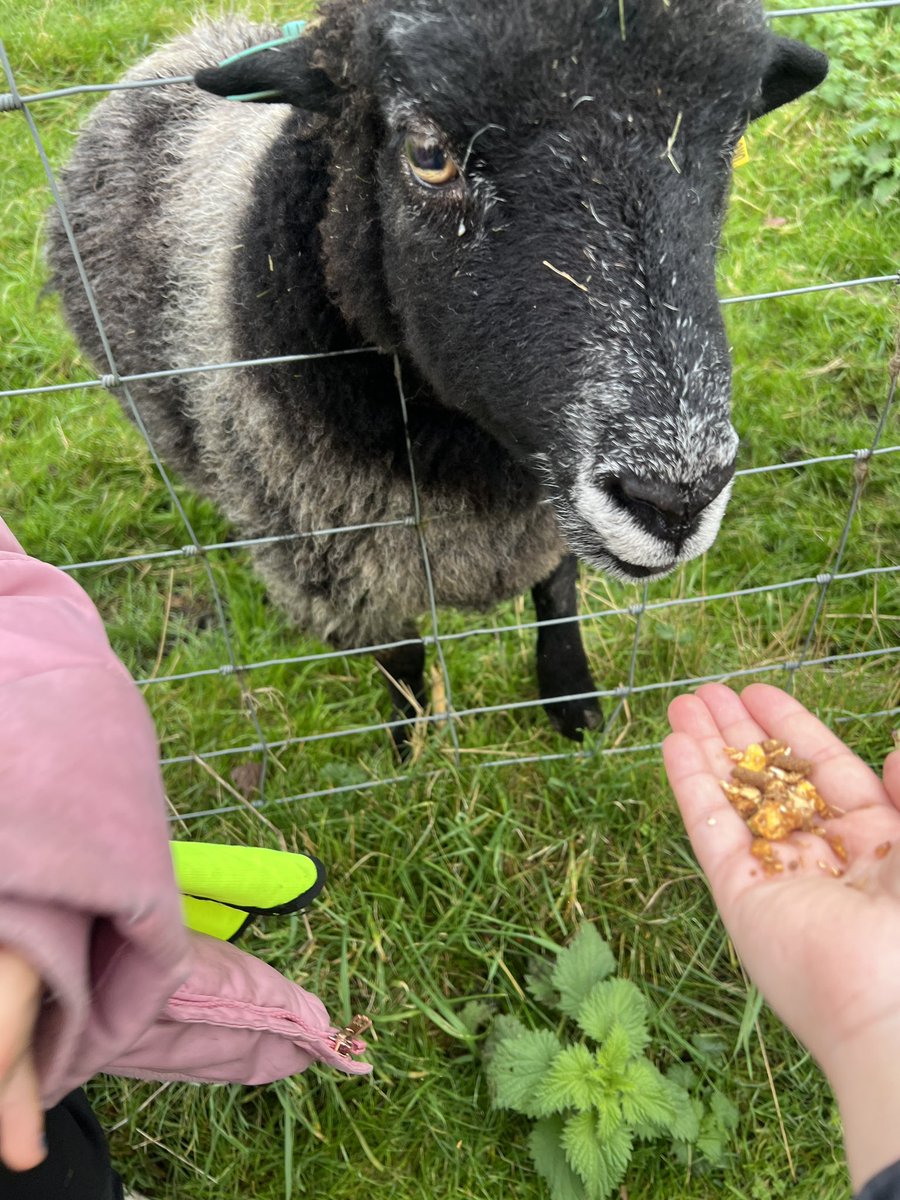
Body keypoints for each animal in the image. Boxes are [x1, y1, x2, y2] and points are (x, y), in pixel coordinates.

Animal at [46, 0, 827, 746]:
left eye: (731, 138)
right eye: (428, 154)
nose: (674, 500)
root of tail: (179, 45)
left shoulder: (551, 515)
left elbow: (558, 596)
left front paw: (575, 708)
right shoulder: (349, 565)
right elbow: (402, 659)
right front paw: (411, 746)